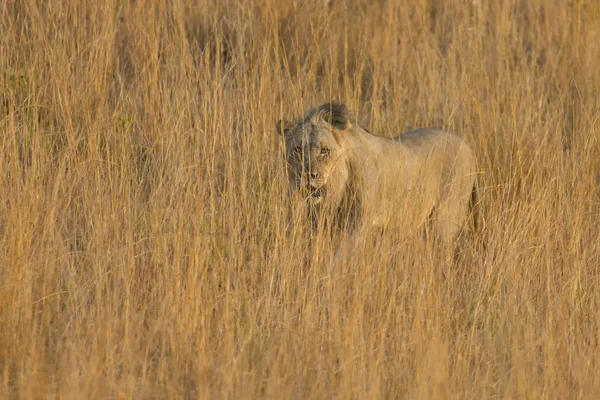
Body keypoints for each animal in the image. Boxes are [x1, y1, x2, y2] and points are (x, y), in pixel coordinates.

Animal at [276, 101, 478, 248]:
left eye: (324, 150)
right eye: (297, 150)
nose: (308, 175)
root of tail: (467, 146)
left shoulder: (358, 226)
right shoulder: (319, 224)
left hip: (445, 220)